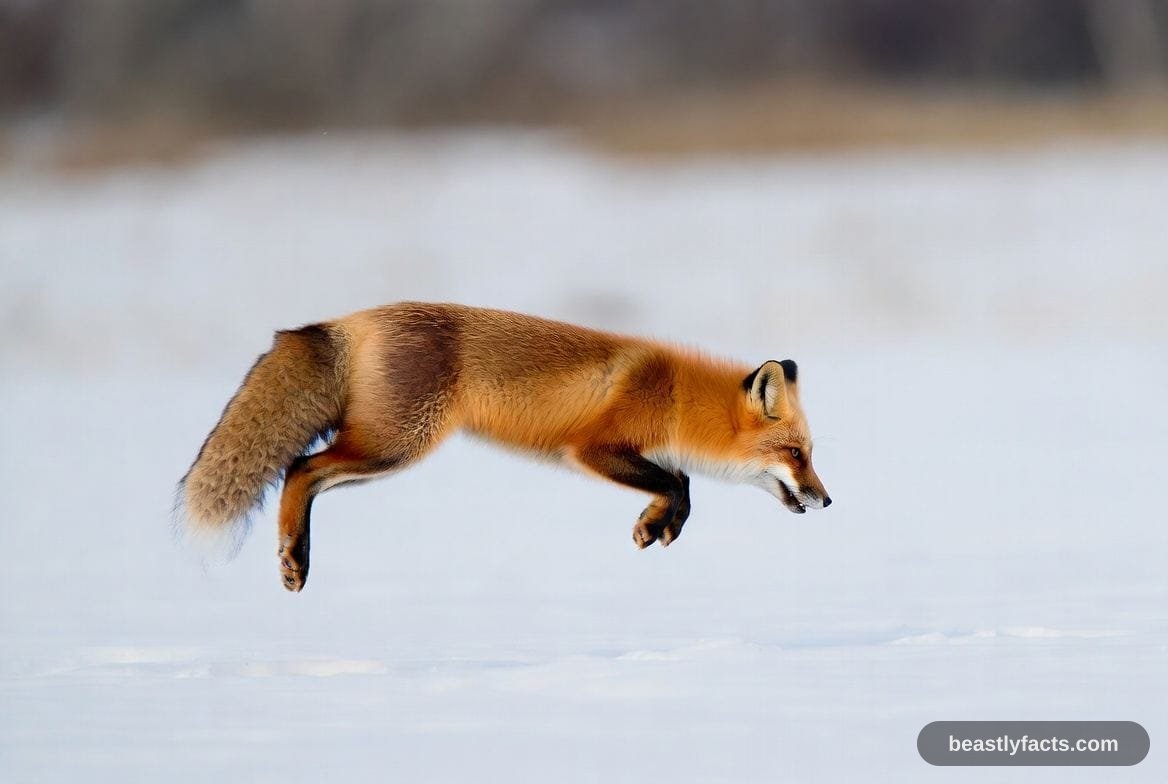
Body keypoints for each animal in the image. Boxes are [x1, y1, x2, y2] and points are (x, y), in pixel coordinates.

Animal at [178, 302, 830, 592]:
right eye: (798, 455)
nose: (827, 501)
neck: (672, 396)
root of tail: (353, 320)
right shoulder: (590, 450)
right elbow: (679, 480)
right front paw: (656, 523)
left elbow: (683, 484)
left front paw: (659, 524)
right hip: (397, 445)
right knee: (299, 467)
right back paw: (294, 558)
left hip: (386, 450)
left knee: (301, 469)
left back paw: (297, 556)